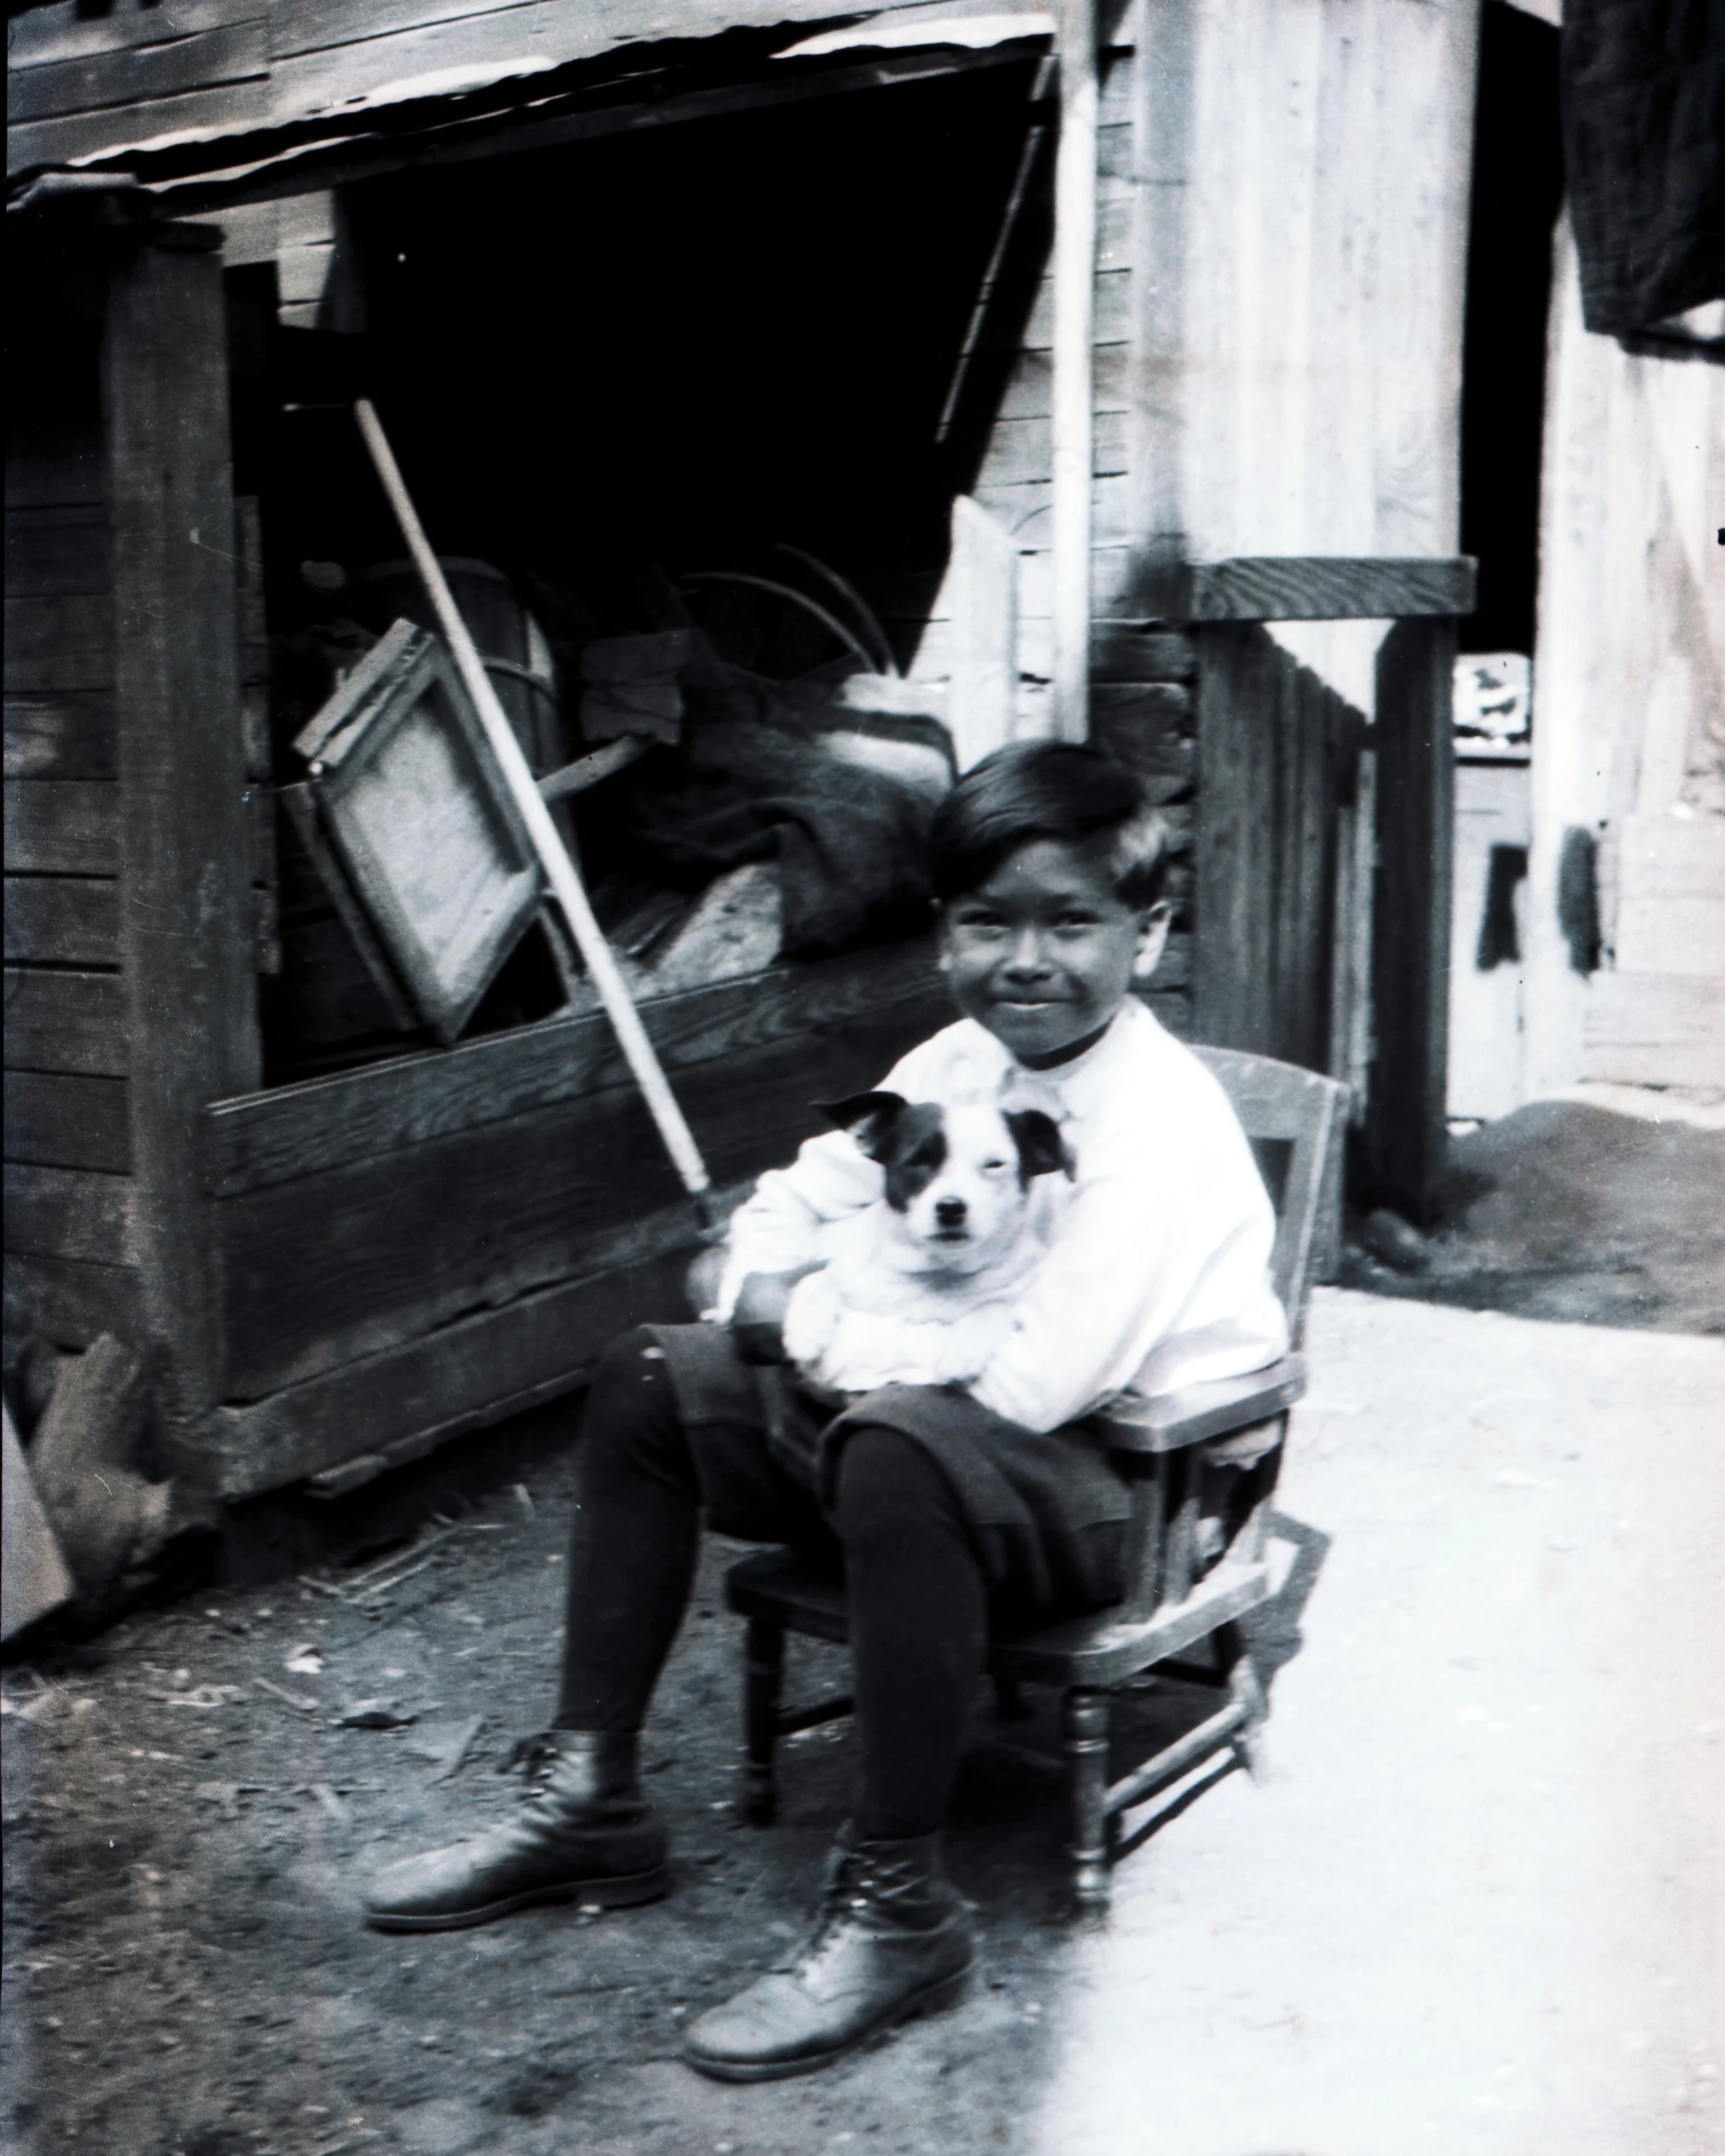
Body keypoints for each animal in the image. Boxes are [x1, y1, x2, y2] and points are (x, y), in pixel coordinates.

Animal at [785, 1095, 1078, 1397]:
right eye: (918, 1161)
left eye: (994, 1165)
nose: (951, 1207)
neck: (938, 1271)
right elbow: (818, 1278)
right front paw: (806, 1330)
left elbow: (994, 1308)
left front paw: (966, 1346)